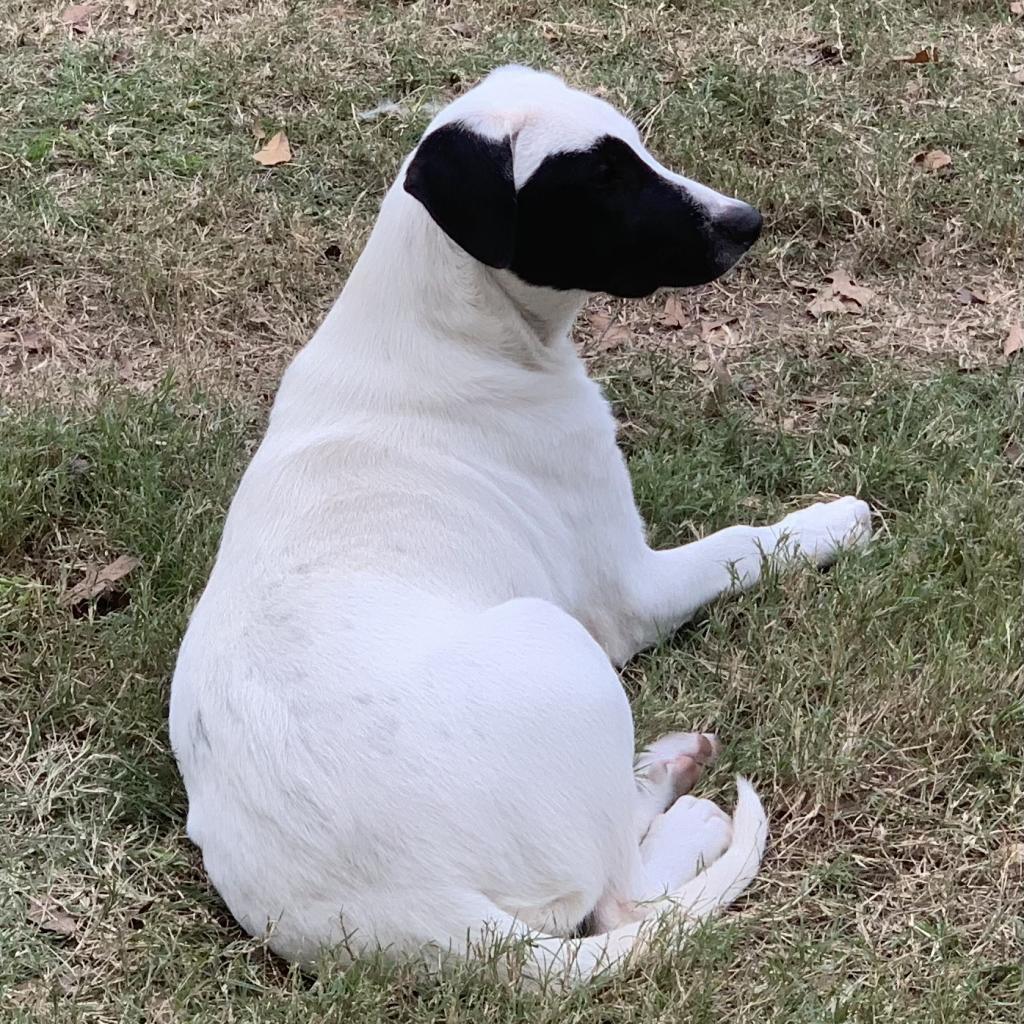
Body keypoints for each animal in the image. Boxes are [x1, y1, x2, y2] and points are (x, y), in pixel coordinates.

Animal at [169, 66, 872, 991]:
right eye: (602, 177)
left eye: (637, 149)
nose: (746, 223)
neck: (444, 329)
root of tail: (416, 912)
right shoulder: (633, 589)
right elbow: (747, 543)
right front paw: (834, 522)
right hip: (560, 643)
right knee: (620, 894)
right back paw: (684, 800)